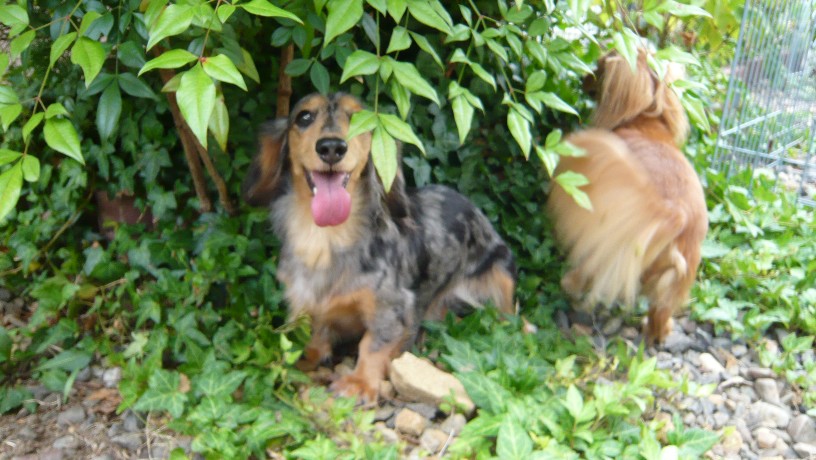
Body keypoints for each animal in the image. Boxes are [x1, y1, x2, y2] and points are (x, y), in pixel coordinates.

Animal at [243, 93, 516, 402]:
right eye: (304, 117)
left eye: (358, 119)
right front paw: (300, 359)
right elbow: (311, 336)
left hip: (503, 277)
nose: (332, 147)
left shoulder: (393, 307)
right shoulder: (304, 301)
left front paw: (359, 382)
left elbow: (372, 343)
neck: (326, 238)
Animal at [547, 49, 708, 343]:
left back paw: (570, 288)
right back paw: (659, 332)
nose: (583, 77)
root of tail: (676, 215)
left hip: (610, 241)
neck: (645, 121)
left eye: (599, 67)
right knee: (659, 313)